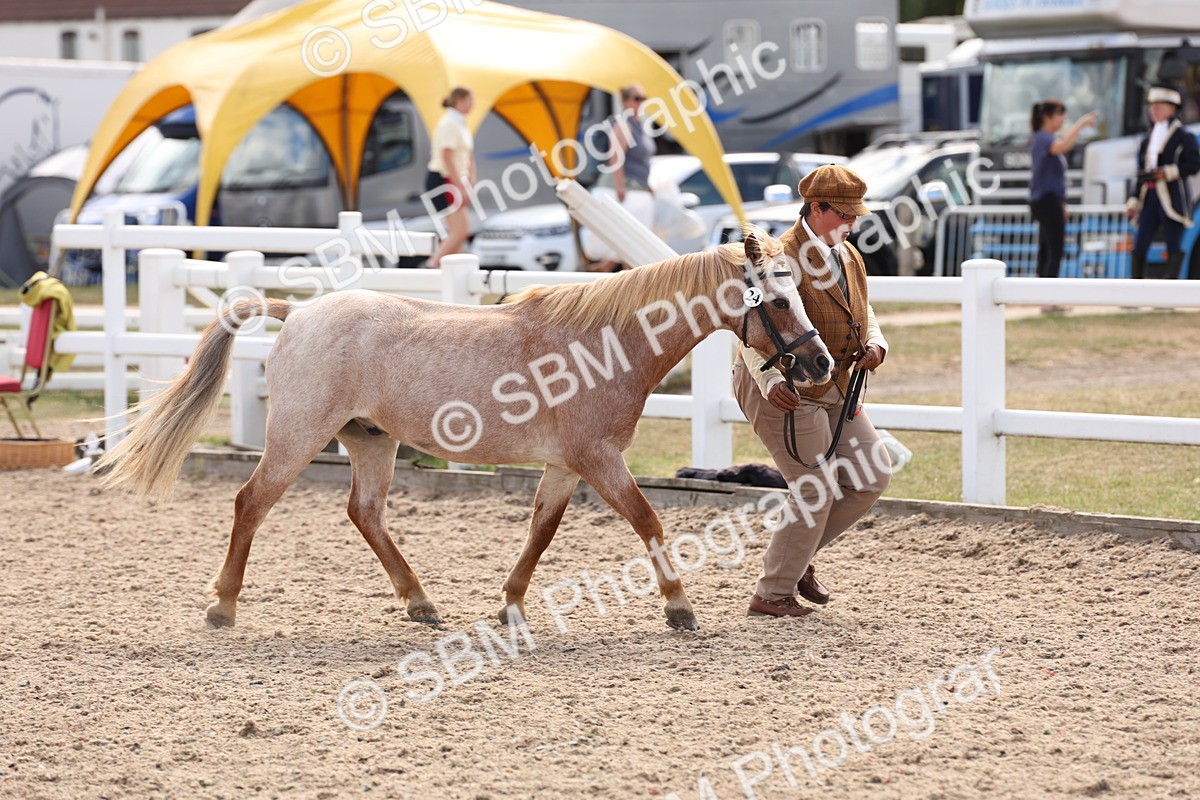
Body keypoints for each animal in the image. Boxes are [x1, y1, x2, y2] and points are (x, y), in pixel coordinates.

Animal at [97, 230, 833, 632]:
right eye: (775, 299)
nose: (820, 363)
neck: (604, 342)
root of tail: (298, 312)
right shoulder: (599, 459)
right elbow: (648, 520)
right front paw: (679, 607)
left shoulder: (565, 465)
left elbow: (540, 532)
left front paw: (511, 604)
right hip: (297, 438)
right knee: (251, 503)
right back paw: (222, 607)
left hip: (371, 440)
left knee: (365, 513)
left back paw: (420, 602)